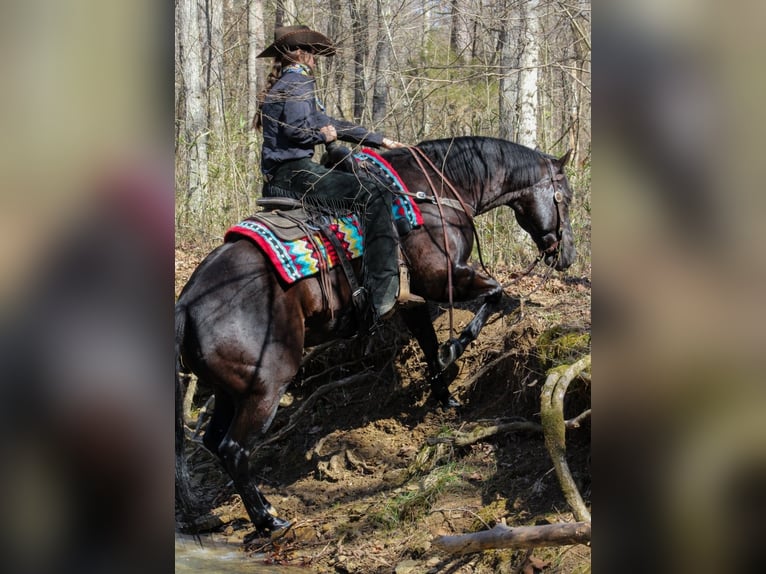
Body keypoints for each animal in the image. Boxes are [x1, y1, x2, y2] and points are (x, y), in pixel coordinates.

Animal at [175, 136, 577, 536]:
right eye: (567, 198)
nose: (568, 255)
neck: (435, 190)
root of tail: (186, 303)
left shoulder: (414, 296)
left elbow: (428, 341)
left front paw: (444, 394)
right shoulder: (442, 276)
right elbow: (494, 294)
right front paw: (454, 350)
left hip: (231, 391)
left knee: (214, 442)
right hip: (265, 387)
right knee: (234, 449)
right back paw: (268, 520)